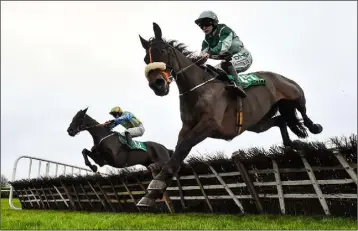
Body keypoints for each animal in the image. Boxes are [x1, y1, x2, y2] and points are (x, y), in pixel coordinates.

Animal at [135, 22, 324, 207]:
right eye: (145, 59)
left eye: (163, 51)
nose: (157, 85)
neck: (198, 89)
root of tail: (278, 76)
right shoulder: (187, 127)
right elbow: (178, 152)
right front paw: (152, 194)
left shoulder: (209, 124)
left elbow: (182, 148)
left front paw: (154, 186)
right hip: (257, 123)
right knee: (280, 120)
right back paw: (290, 144)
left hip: (294, 93)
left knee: (303, 110)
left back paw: (314, 127)